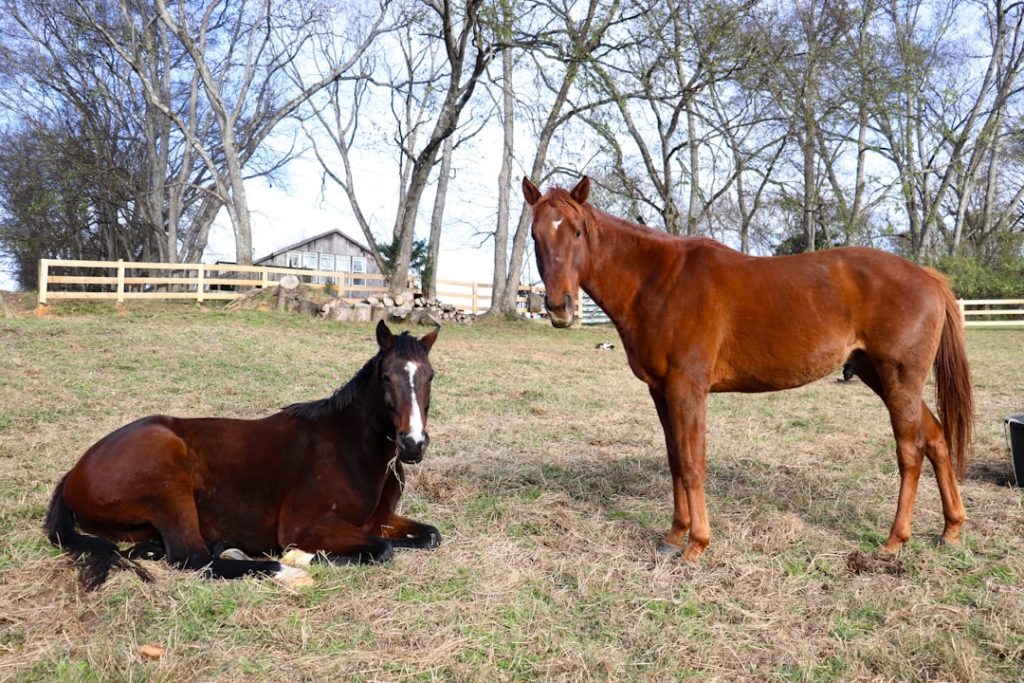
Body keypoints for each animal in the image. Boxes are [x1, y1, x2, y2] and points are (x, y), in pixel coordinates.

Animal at [45, 320, 441, 588]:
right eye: (386, 376)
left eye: (430, 376)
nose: (413, 444)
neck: (352, 449)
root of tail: (74, 473)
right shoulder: (306, 526)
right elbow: (382, 550)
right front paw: (299, 557)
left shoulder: (380, 520)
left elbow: (429, 535)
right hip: (169, 482)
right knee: (194, 559)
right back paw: (283, 569)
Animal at [522, 176, 973, 562]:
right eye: (535, 235)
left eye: (577, 232)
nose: (559, 306)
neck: (659, 282)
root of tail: (929, 279)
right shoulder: (660, 390)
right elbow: (675, 460)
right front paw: (673, 537)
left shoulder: (688, 389)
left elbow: (693, 464)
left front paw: (697, 545)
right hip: (878, 376)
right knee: (936, 438)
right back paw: (950, 529)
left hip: (899, 380)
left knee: (911, 451)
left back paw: (895, 540)